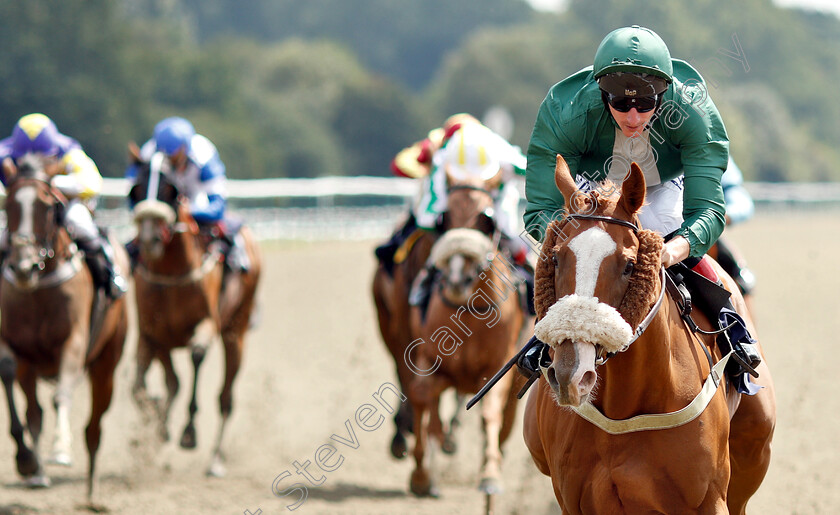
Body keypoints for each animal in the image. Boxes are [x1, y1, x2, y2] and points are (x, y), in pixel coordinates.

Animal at [0, 156, 130, 500]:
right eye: (8, 205)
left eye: (48, 207)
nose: (23, 267)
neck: (39, 288)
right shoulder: (18, 349)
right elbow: (9, 375)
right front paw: (27, 460)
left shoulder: (75, 341)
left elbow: (62, 394)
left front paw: (60, 449)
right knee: (35, 414)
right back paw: (37, 473)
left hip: (107, 362)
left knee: (94, 427)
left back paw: (91, 493)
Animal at [126, 144, 260, 476]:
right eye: (136, 189)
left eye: (169, 189)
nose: (148, 238)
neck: (172, 274)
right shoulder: (152, 333)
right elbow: (147, 386)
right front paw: (156, 422)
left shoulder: (207, 323)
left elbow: (196, 358)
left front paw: (187, 431)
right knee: (164, 383)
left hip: (236, 332)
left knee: (226, 397)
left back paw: (216, 458)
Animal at [520, 155, 776, 512]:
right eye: (555, 258)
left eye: (629, 265)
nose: (571, 374)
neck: (625, 409)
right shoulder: (575, 500)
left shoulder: (711, 498)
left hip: (752, 456)